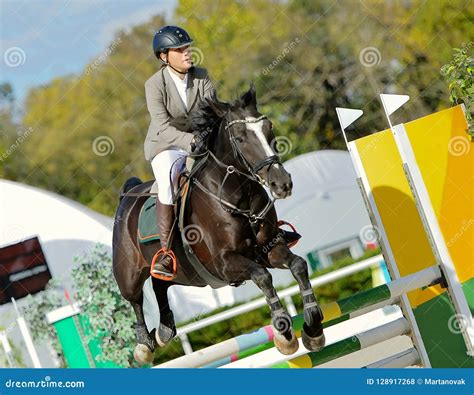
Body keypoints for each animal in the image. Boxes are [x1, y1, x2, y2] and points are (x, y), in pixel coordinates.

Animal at [113, 86, 324, 366]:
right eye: (241, 138)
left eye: (269, 128)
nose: (282, 183)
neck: (239, 195)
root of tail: (128, 193)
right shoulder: (224, 262)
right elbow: (263, 276)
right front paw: (284, 333)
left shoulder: (269, 249)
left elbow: (298, 265)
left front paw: (313, 328)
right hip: (129, 273)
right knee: (135, 299)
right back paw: (144, 346)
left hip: (185, 274)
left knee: (160, 284)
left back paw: (164, 330)